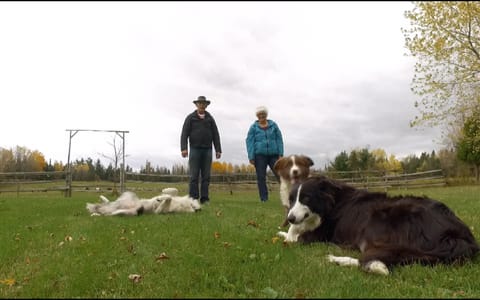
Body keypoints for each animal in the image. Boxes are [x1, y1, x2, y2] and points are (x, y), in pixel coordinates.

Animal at [278, 177, 480, 276]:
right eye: (291, 200)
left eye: (306, 198)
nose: (290, 218)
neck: (332, 202)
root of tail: (457, 237)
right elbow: (293, 230)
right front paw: (282, 231)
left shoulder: (319, 235)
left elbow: (295, 236)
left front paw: (286, 235)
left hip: (379, 219)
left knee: (370, 261)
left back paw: (337, 258)